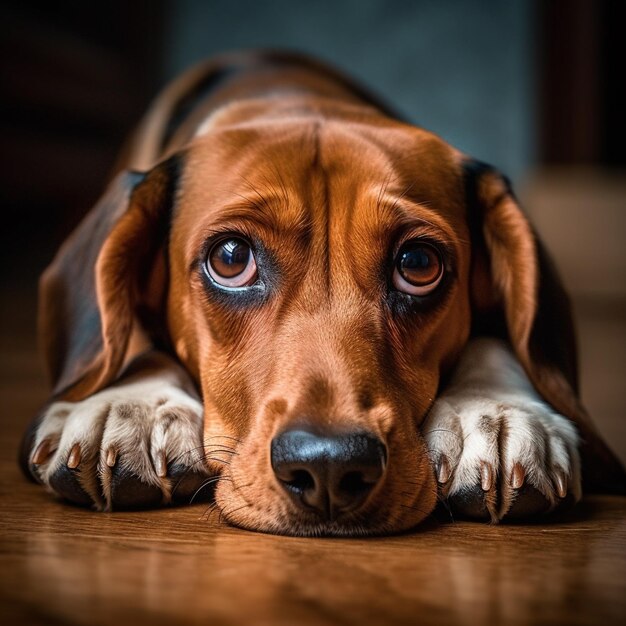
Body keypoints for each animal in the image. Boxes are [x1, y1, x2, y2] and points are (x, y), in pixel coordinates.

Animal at [17, 51, 620, 532]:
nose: (330, 465)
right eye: (230, 258)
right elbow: (136, 341)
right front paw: (131, 405)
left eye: (418, 264)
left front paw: (497, 412)